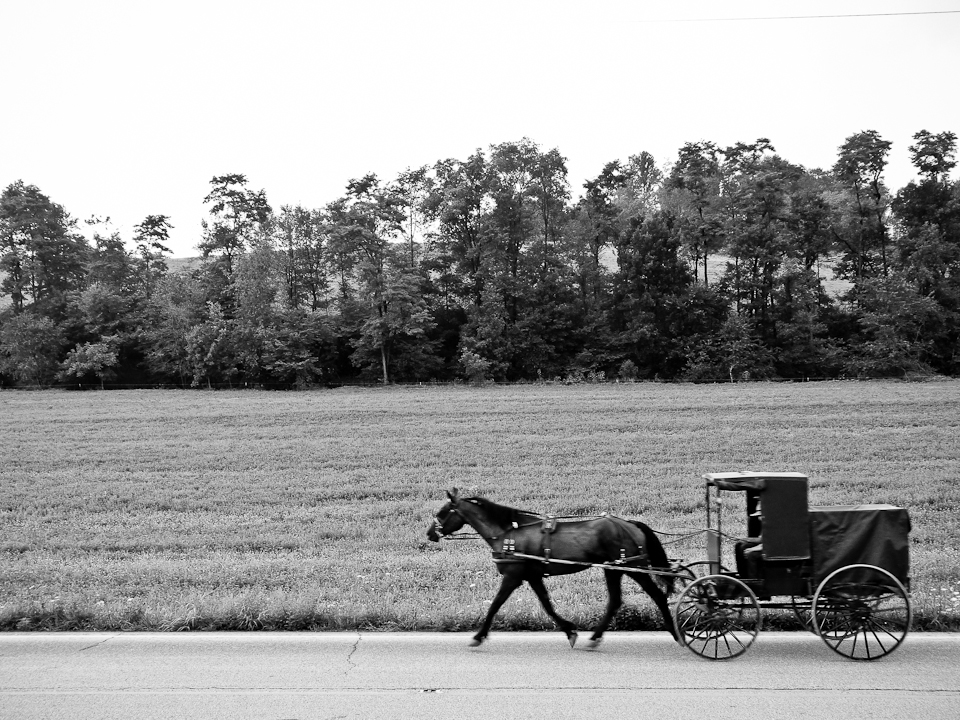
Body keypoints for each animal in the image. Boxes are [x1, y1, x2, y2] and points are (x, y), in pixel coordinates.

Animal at [424, 490, 680, 648]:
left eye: (442, 512)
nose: (429, 534)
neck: (508, 534)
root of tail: (629, 524)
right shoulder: (533, 576)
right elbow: (547, 605)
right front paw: (570, 631)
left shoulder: (513, 576)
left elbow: (495, 605)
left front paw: (479, 635)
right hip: (613, 569)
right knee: (615, 601)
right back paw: (595, 637)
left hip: (632, 567)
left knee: (657, 596)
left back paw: (676, 632)